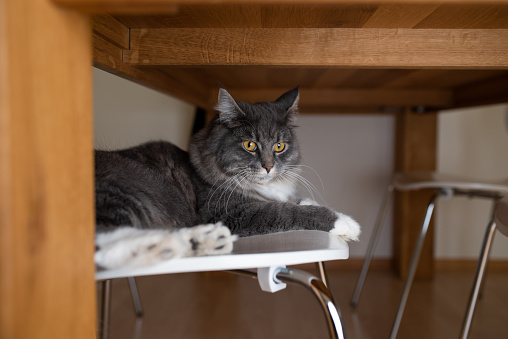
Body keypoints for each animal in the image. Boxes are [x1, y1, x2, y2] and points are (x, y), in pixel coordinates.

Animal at [93, 87, 360, 270]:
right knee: (101, 242)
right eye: (250, 145)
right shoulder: (231, 210)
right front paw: (346, 223)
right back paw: (163, 245)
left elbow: (295, 201)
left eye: (280, 146)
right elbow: (286, 210)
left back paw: (206, 239)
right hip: (126, 192)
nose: (268, 167)